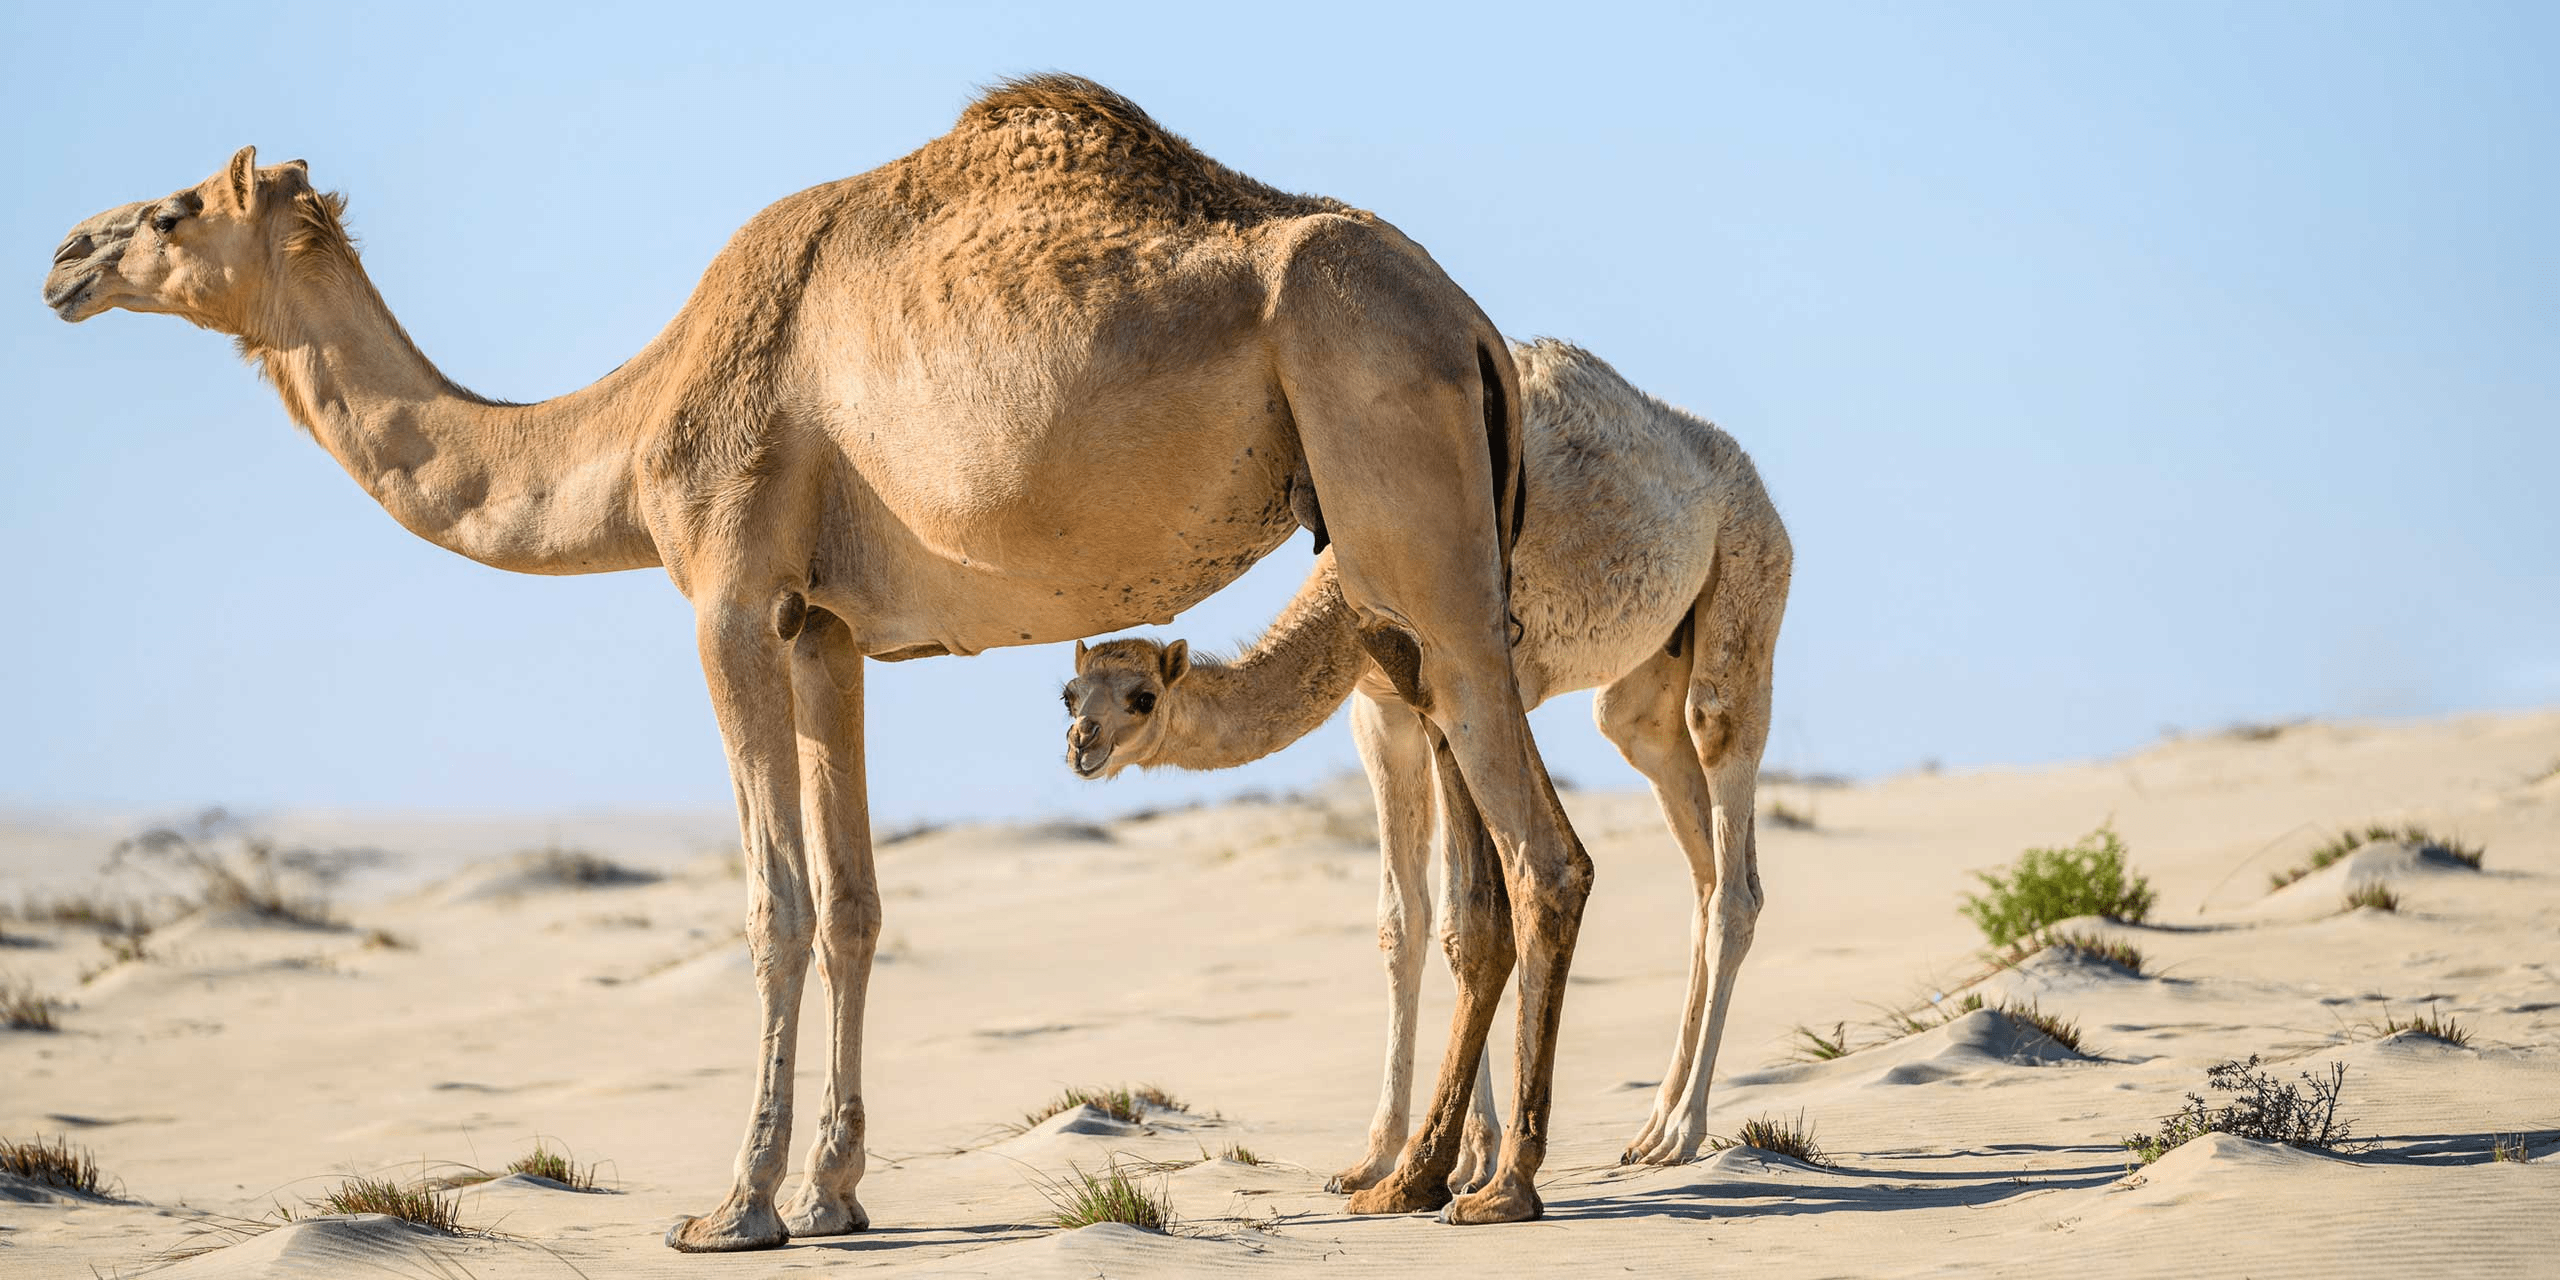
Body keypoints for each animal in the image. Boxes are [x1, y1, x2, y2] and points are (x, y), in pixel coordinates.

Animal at [40, 74, 1587, 1244]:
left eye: (173, 211)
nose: (64, 257)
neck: (635, 433)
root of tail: (1469, 325)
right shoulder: (825, 626)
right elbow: (853, 900)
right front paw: (837, 1192)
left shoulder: (727, 596)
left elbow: (772, 903)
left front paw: (733, 1206)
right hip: (1392, 570)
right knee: (1475, 856)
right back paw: (1410, 1177)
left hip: (1399, 487)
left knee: (1546, 854)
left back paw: (1502, 1188)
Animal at [1070, 337, 1792, 1177]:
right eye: (1070, 693)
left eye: (1141, 697)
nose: (1082, 744)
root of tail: (1749, 479)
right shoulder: (1379, 714)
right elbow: (1405, 920)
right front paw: (1388, 1155)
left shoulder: (1467, 695)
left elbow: (1465, 914)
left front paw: (1453, 1159)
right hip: (1645, 681)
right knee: (1691, 851)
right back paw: (1649, 1130)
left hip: (1749, 577)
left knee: (1729, 835)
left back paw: (1684, 1133)